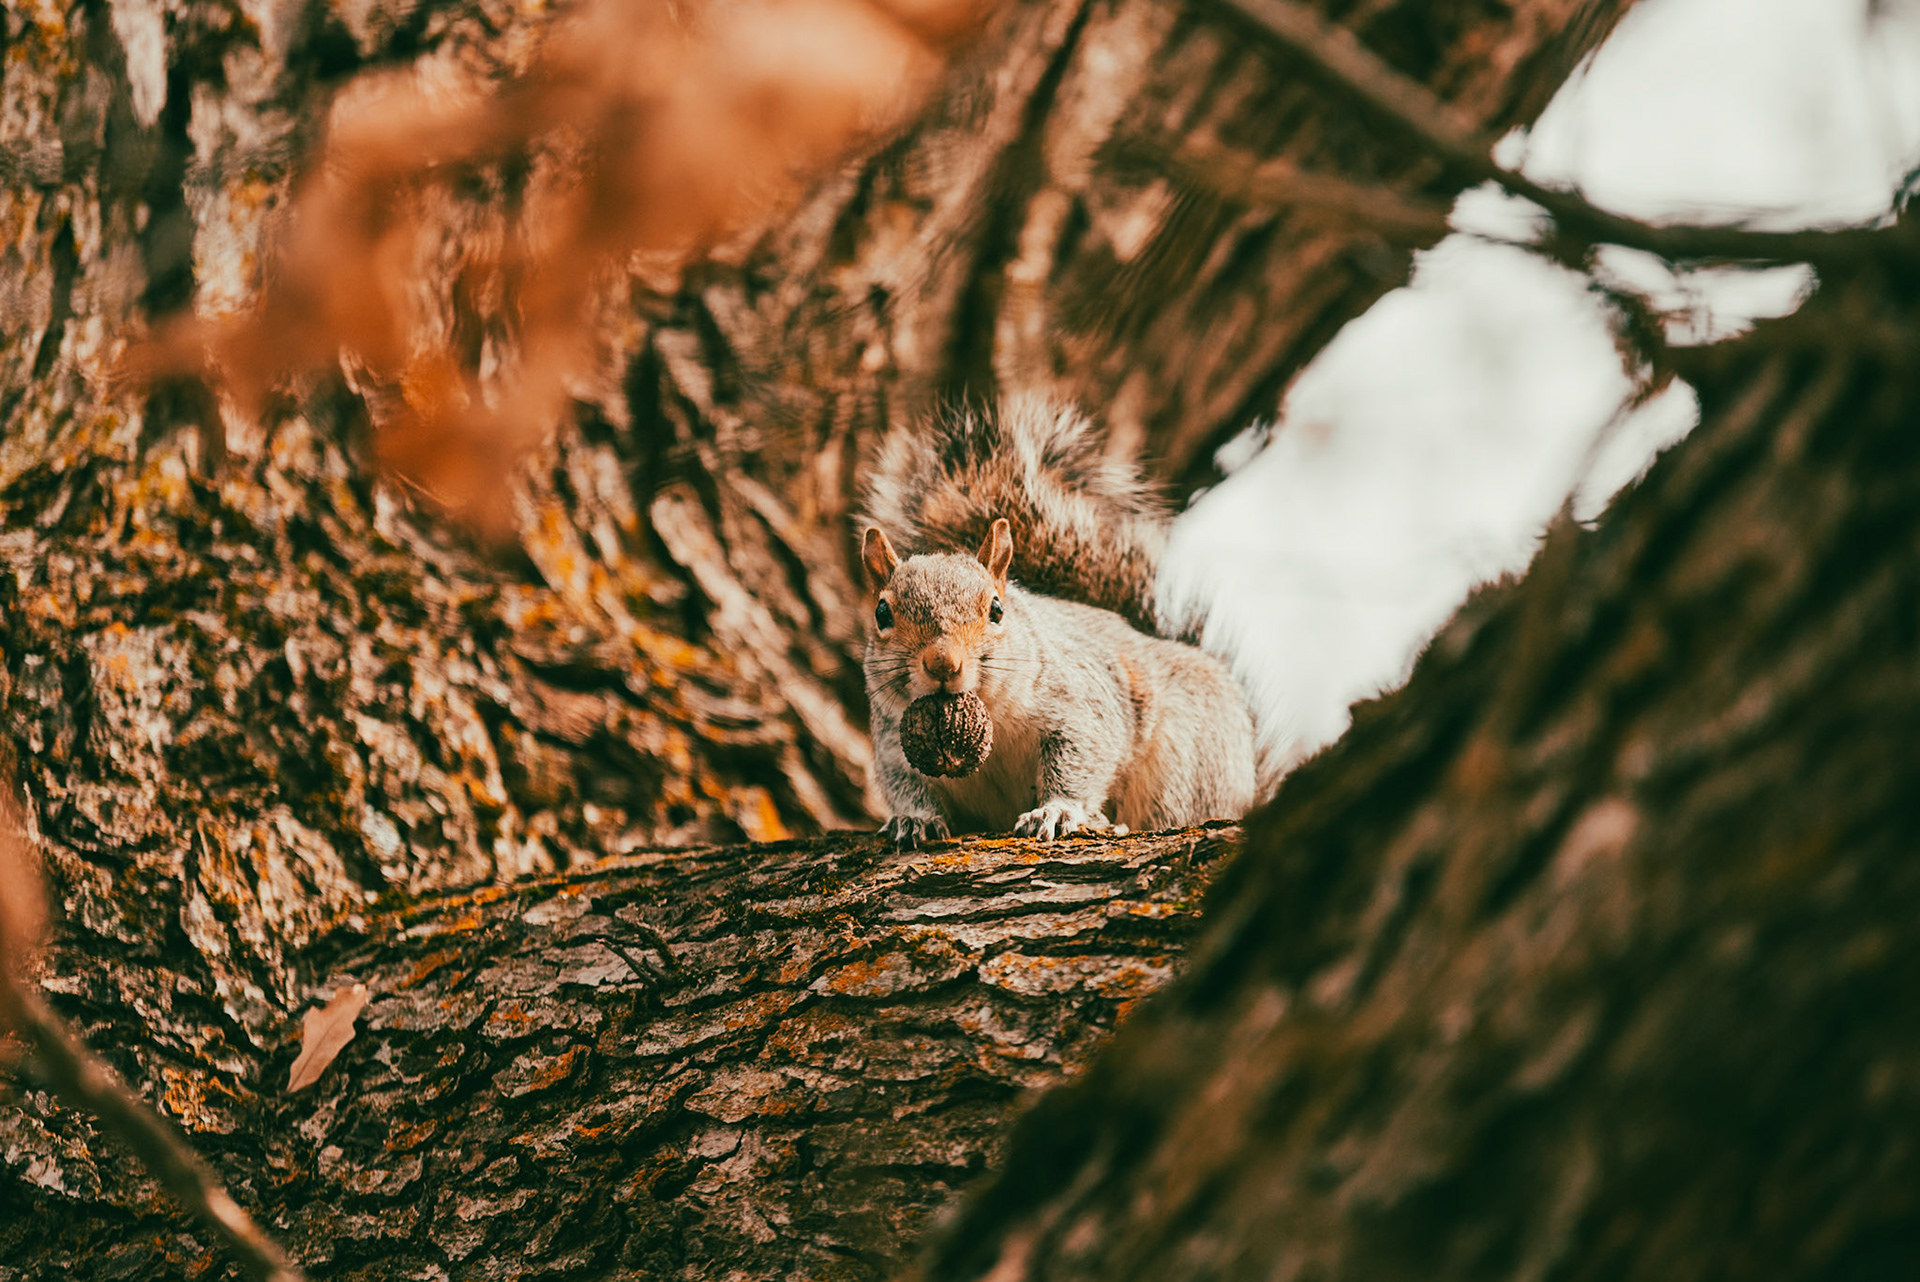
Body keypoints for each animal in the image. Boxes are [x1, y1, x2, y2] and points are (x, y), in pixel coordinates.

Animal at [858, 397, 1262, 848]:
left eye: (997, 610)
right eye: (882, 613)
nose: (942, 664)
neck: (989, 715)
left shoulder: (1078, 705)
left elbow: (1079, 759)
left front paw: (1055, 811)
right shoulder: (893, 743)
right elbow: (906, 785)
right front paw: (915, 820)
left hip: (1190, 762)